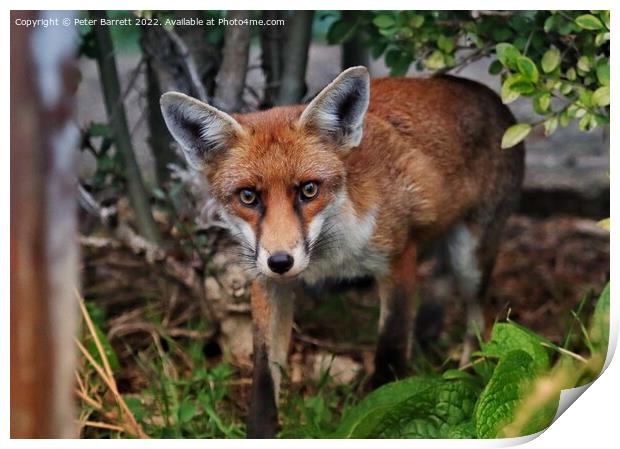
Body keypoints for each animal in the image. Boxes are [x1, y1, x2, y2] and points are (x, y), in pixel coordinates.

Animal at [160, 66, 524, 438]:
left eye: (309, 190)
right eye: (248, 197)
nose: (280, 262)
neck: (331, 256)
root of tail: (488, 94)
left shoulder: (398, 261)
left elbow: (390, 355)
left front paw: (386, 419)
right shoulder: (268, 284)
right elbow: (263, 380)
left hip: (471, 259)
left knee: (479, 318)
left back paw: (474, 371)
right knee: (440, 287)